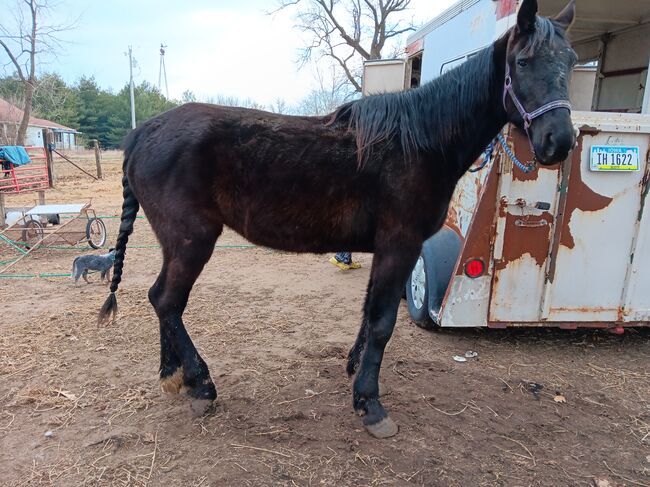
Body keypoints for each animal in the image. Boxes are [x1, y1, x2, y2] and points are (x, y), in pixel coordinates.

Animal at [100, 0, 576, 438]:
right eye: (523, 62)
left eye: (571, 62)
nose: (559, 141)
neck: (421, 141)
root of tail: (141, 134)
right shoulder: (400, 244)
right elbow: (382, 322)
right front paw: (371, 405)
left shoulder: (386, 248)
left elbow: (369, 315)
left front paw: (355, 372)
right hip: (193, 240)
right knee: (167, 301)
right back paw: (200, 385)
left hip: (176, 243)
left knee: (162, 300)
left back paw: (174, 376)